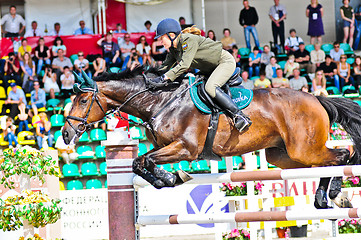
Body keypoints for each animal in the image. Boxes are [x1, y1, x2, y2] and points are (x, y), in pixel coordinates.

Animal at [62, 68, 361, 209]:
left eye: (83, 100)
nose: (65, 133)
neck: (161, 101)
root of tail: (317, 99)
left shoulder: (186, 148)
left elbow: (143, 160)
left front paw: (171, 177)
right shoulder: (165, 146)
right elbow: (142, 162)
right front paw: (166, 179)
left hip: (304, 148)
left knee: (342, 156)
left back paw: (334, 194)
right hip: (283, 155)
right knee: (322, 165)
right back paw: (324, 197)